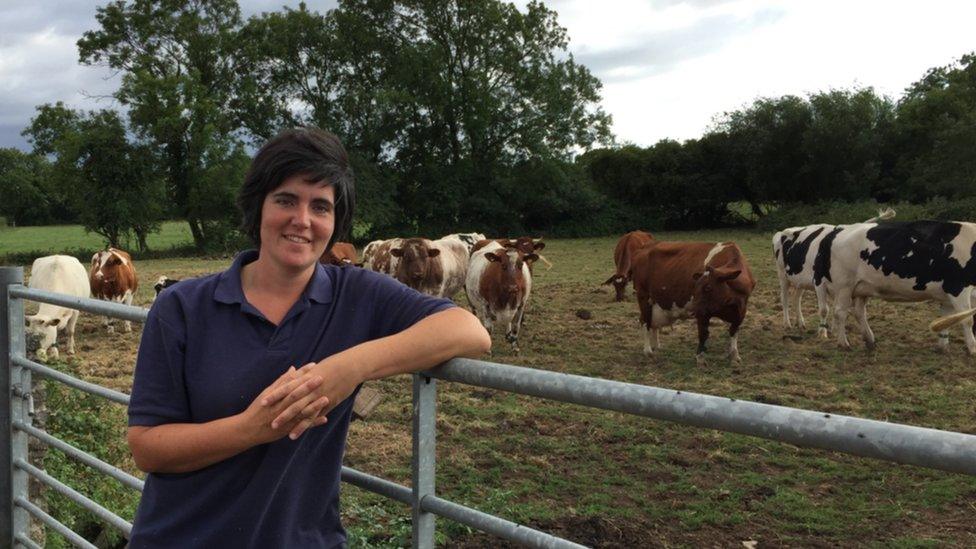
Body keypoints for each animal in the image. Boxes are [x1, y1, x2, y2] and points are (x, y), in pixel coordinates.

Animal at [628, 239, 760, 364]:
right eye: (695, 286)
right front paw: (700, 358)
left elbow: (734, 331)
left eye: (708, 287)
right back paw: (648, 351)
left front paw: (734, 355)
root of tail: (645, 246)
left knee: (653, 324)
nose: (692, 311)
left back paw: (657, 346)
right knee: (644, 321)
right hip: (643, 296)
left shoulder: (741, 310)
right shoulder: (702, 312)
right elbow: (703, 334)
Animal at [772, 208, 896, 336]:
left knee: (796, 298)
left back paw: (801, 323)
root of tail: (781, 232)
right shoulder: (819, 282)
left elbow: (836, 308)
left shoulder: (839, 286)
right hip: (782, 275)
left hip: (800, 279)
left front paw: (834, 330)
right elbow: (824, 310)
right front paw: (823, 333)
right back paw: (787, 324)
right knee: (784, 298)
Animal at [812, 220, 976, 354]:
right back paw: (844, 343)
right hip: (844, 286)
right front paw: (972, 349)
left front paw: (943, 347)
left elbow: (948, 319)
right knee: (840, 312)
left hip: (861, 288)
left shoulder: (948, 293)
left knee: (859, 312)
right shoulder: (957, 287)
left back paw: (870, 340)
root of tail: (837, 230)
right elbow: (967, 319)